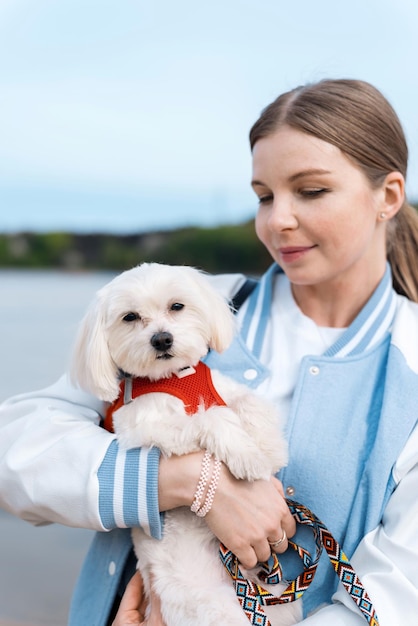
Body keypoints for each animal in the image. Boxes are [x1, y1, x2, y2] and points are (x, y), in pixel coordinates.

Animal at [71, 262, 300, 624]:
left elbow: (250, 403)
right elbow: (211, 417)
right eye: (130, 317)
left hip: (281, 598)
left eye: (176, 306)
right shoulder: (143, 428)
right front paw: (247, 456)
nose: (162, 338)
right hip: (217, 607)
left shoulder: (222, 389)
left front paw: (268, 447)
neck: (178, 378)